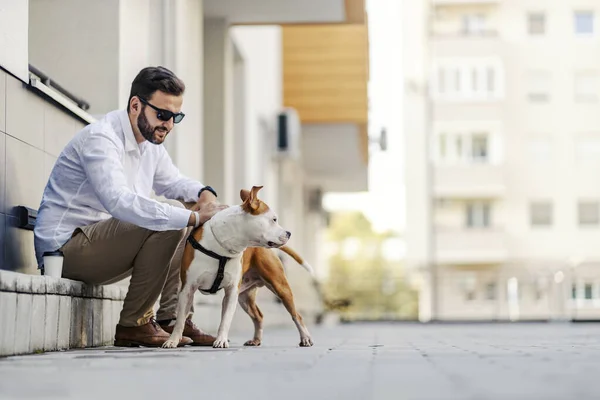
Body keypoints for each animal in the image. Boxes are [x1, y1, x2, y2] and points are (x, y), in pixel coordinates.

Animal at [163, 186, 314, 348]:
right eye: (274, 219)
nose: (289, 233)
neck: (224, 244)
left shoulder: (231, 291)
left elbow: (225, 320)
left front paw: (221, 340)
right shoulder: (187, 289)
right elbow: (180, 320)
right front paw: (173, 340)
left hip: (280, 286)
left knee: (296, 315)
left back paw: (305, 338)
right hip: (245, 297)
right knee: (259, 316)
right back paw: (256, 340)